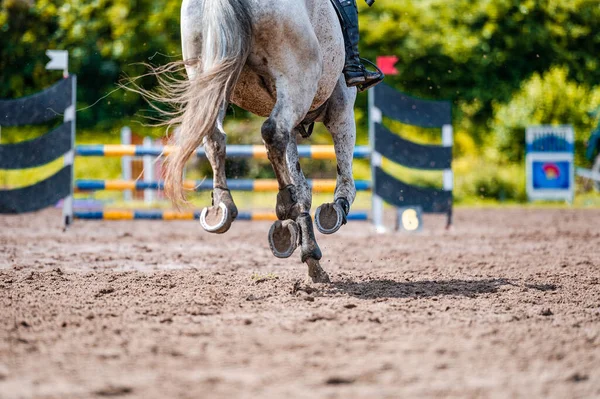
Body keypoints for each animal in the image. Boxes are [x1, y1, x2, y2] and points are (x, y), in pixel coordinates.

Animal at [156, 0, 360, 284]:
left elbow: (301, 182)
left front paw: (310, 254)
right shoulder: (341, 107)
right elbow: (344, 171)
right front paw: (336, 210)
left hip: (211, 76)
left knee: (216, 136)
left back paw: (224, 205)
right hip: (296, 82)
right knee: (272, 132)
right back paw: (285, 206)